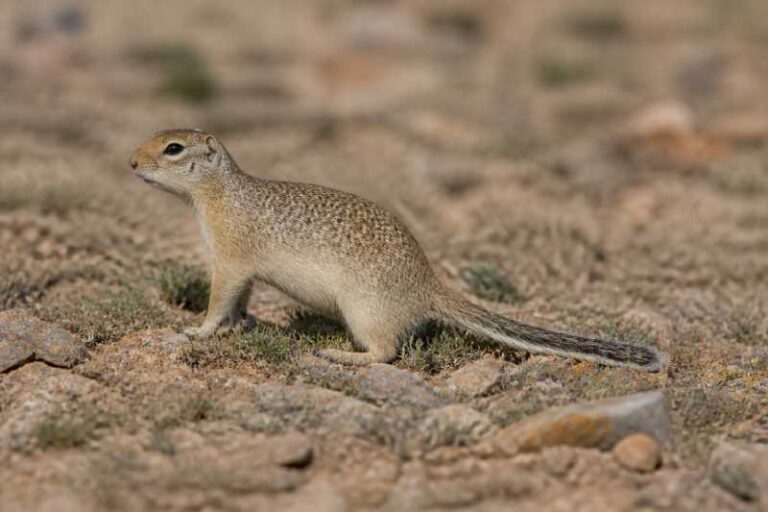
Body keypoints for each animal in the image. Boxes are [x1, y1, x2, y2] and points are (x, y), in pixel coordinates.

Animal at [129, 129, 668, 371]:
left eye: (173, 148)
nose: (131, 162)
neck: (219, 193)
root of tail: (427, 286)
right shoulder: (242, 270)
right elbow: (238, 303)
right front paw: (239, 326)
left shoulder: (230, 261)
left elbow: (219, 300)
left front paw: (196, 330)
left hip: (364, 311)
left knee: (386, 353)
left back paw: (339, 355)